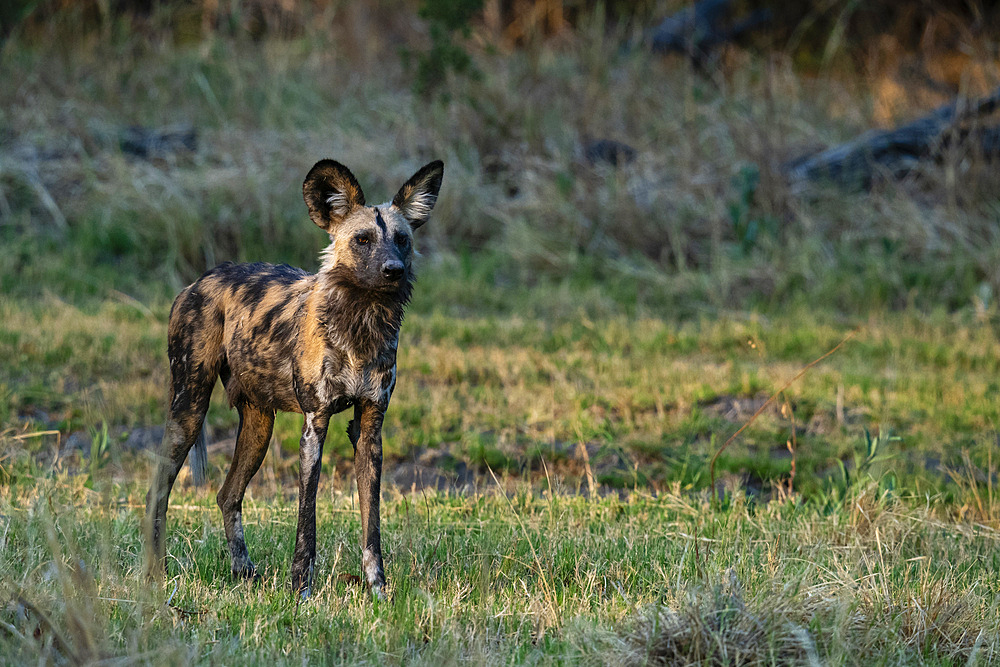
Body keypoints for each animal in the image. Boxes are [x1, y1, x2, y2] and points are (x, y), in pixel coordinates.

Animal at [143, 158, 444, 600]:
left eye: (402, 239)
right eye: (363, 240)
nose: (394, 271)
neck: (362, 323)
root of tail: (198, 281)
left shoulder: (370, 428)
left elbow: (371, 524)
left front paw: (378, 590)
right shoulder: (314, 426)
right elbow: (307, 519)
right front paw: (301, 588)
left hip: (258, 427)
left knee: (227, 495)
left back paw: (244, 571)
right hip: (189, 411)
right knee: (158, 492)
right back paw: (155, 575)